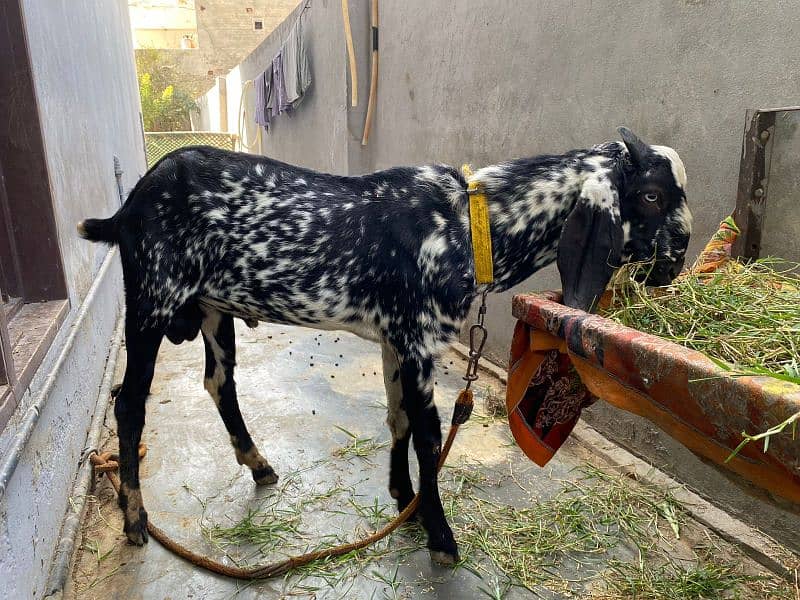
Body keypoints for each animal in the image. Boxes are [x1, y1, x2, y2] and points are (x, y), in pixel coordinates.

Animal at [83, 125, 692, 564]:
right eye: (652, 194)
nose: (676, 263)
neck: (468, 225)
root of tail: (129, 206)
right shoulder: (420, 341)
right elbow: (428, 436)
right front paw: (440, 535)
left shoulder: (396, 338)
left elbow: (397, 417)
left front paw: (404, 498)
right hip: (153, 300)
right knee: (129, 404)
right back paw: (135, 519)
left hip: (212, 310)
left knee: (218, 382)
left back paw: (257, 464)